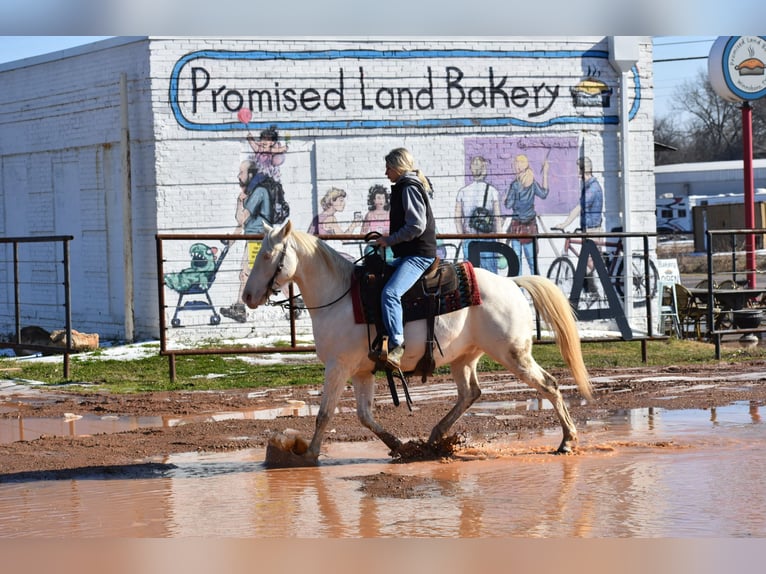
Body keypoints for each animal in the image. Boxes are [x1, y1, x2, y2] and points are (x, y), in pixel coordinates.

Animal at [243, 221, 593, 465]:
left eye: (268, 254)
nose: (247, 296)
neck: (338, 296)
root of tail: (511, 283)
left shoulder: (337, 367)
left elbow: (325, 414)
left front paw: (307, 456)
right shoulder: (361, 372)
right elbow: (364, 416)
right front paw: (400, 446)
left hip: (513, 354)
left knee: (549, 385)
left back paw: (566, 441)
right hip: (465, 357)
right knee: (470, 393)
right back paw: (434, 439)